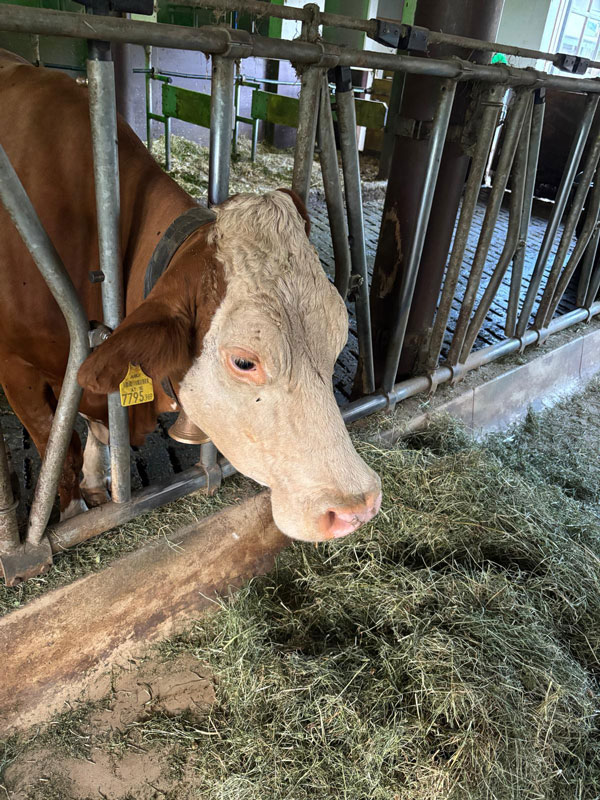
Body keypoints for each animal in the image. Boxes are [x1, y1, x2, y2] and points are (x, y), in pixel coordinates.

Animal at [0, 51, 381, 543]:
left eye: (338, 339)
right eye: (244, 362)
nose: (358, 507)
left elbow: (97, 428)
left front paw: (97, 480)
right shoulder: (16, 369)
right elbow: (58, 451)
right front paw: (71, 513)